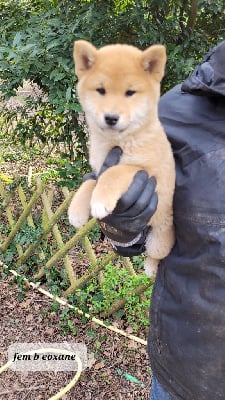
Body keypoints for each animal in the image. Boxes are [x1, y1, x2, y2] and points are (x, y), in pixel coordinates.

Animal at [68, 39, 176, 276]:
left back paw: (150, 268)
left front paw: (100, 201)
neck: (117, 143)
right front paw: (76, 210)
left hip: (158, 240)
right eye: (101, 90)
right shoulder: (97, 167)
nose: (111, 117)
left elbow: (115, 172)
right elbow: (90, 182)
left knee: (156, 255)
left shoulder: (149, 171)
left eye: (130, 92)